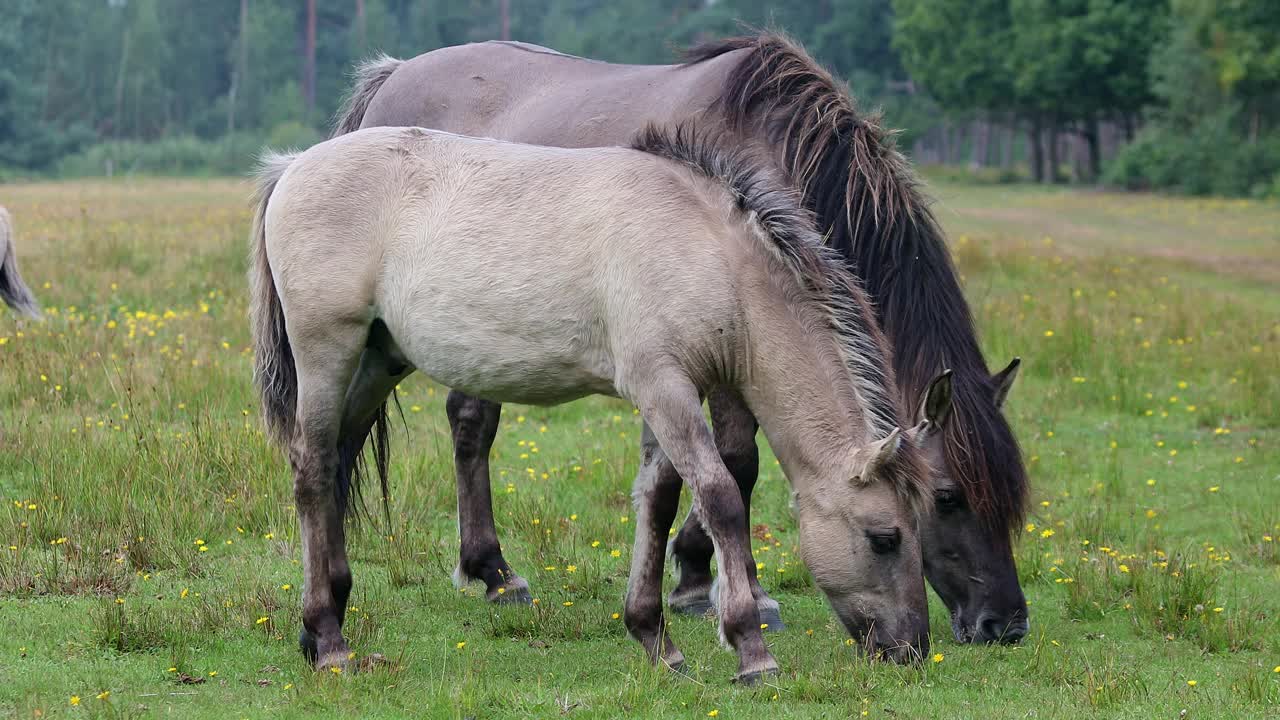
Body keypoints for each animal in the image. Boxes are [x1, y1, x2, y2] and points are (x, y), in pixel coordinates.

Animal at [254, 124, 947, 676]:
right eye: (884, 537)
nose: (912, 649)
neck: (711, 256)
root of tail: (295, 165)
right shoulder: (663, 385)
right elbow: (719, 497)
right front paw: (750, 648)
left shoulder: (673, 391)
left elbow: (658, 501)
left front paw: (656, 640)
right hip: (328, 352)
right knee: (312, 470)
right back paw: (331, 640)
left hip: (379, 359)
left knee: (338, 465)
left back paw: (319, 627)